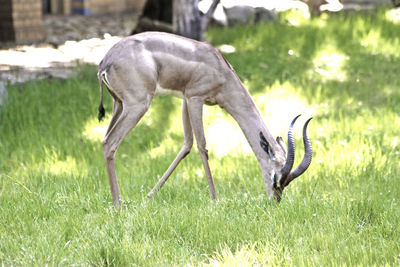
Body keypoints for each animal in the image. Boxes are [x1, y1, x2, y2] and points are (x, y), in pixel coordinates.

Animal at [97, 30, 312, 208]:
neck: (222, 71)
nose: (275, 201)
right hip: (138, 105)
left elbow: (187, 144)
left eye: (286, 183)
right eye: (276, 178)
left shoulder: (185, 99)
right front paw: (216, 199)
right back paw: (118, 204)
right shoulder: (195, 98)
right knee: (110, 143)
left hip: (119, 104)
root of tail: (106, 62)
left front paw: (149, 196)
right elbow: (202, 146)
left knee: (105, 140)